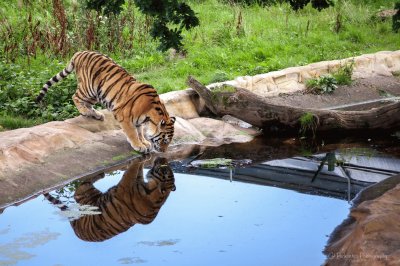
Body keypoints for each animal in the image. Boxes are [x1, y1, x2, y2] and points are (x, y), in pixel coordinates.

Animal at [35, 50, 175, 153]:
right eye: (165, 141)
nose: (164, 151)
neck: (150, 115)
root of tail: (79, 52)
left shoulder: (138, 121)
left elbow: (140, 131)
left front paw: (145, 142)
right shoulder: (124, 117)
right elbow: (133, 133)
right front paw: (139, 146)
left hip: (97, 93)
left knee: (87, 103)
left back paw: (96, 114)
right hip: (88, 88)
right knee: (75, 97)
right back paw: (85, 112)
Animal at [43, 157, 175, 242]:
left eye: (164, 169)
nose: (162, 157)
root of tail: (74, 224)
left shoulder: (126, 183)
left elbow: (132, 169)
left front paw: (140, 157)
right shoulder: (136, 180)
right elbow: (139, 170)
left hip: (85, 193)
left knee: (81, 186)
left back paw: (100, 174)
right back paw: (101, 173)